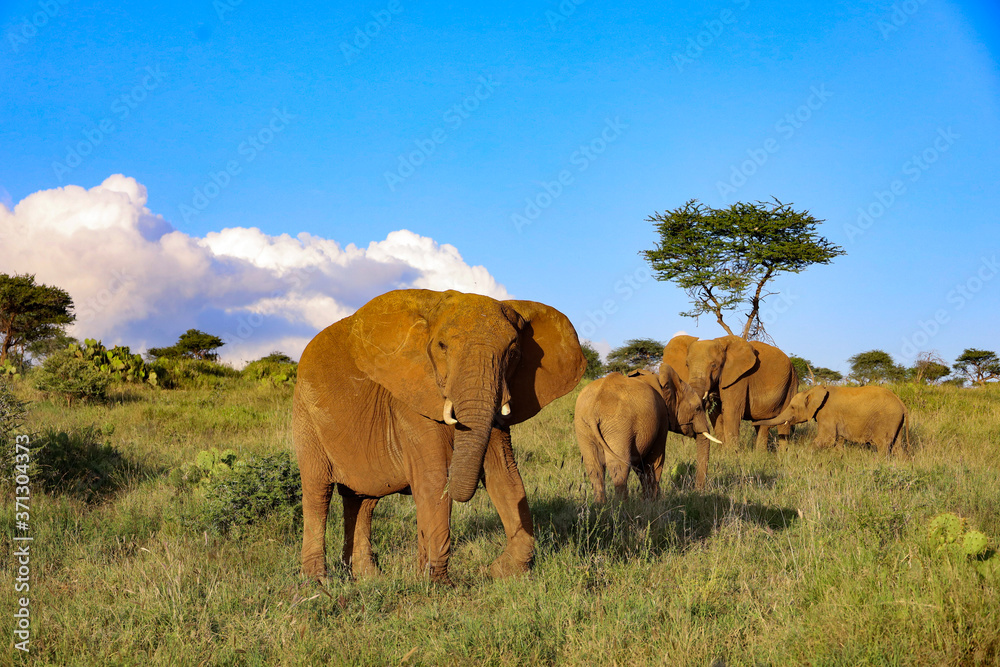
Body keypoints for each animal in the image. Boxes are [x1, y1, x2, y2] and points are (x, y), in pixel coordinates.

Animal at [293, 289, 585, 585]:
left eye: (513, 353)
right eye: (442, 346)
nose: (483, 571)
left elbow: (505, 475)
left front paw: (502, 572)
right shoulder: (410, 398)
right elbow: (433, 481)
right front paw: (438, 584)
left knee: (362, 499)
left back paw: (368, 579)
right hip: (306, 415)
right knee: (318, 494)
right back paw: (317, 582)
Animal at [574, 365, 720, 501]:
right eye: (697, 408)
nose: (697, 491)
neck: (661, 380)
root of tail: (594, 408)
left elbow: (640, 466)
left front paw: (647, 500)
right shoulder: (661, 418)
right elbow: (654, 460)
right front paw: (653, 501)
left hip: (583, 426)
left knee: (594, 467)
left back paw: (600, 506)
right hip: (618, 425)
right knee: (618, 466)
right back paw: (622, 506)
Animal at [664, 335, 798, 451]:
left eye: (714, 365)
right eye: (687, 365)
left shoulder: (739, 379)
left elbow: (731, 411)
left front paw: (731, 455)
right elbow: (716, 415)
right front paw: (722, 453)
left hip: (791, 382)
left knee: (783, 423)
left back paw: (782, 456)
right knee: (761, 423)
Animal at [753, 385, 910, 454]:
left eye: (792, 407)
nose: (754, 421)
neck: (814, 390)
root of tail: (902, 404)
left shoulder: (827, 413)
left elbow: (827, 439)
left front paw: (803, 455)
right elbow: (838, 440)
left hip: (887, 419)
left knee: (883, 446)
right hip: (896, 422)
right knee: (897, 447)